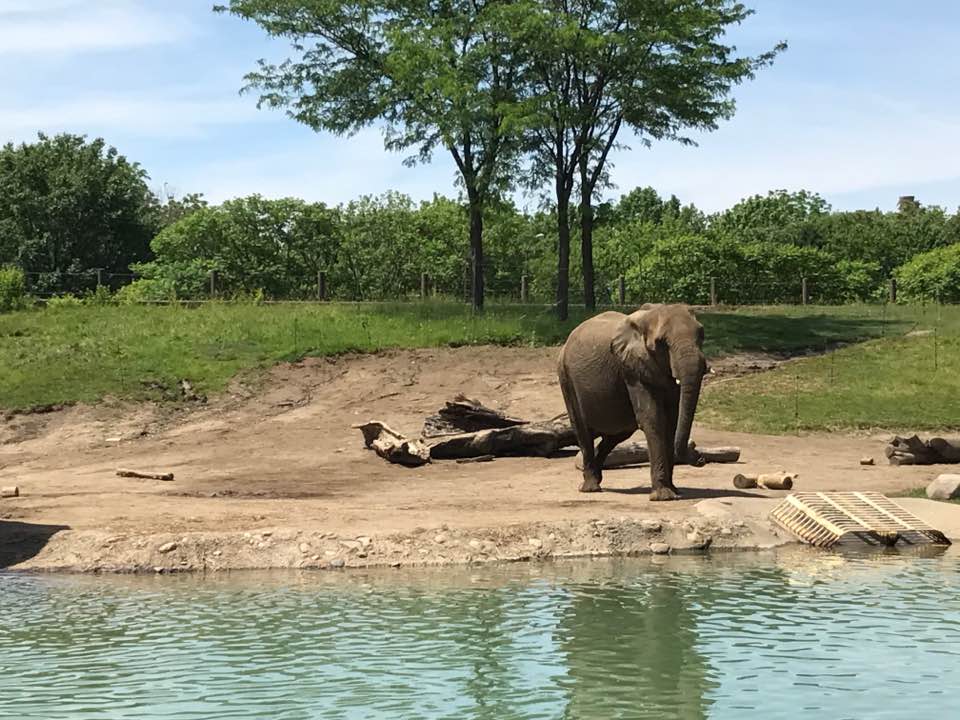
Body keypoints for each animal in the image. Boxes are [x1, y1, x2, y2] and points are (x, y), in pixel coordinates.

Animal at [557, 304, 708, 500]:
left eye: (702, 334)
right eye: (662, 343)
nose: (700, 457)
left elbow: (671, 421)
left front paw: (674, 491)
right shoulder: (631, 369)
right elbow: (653, 419)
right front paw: (663, 496)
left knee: (617, 435)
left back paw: (594, 475)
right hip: (566, 377)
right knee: (582, 431)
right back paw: (590, 487)